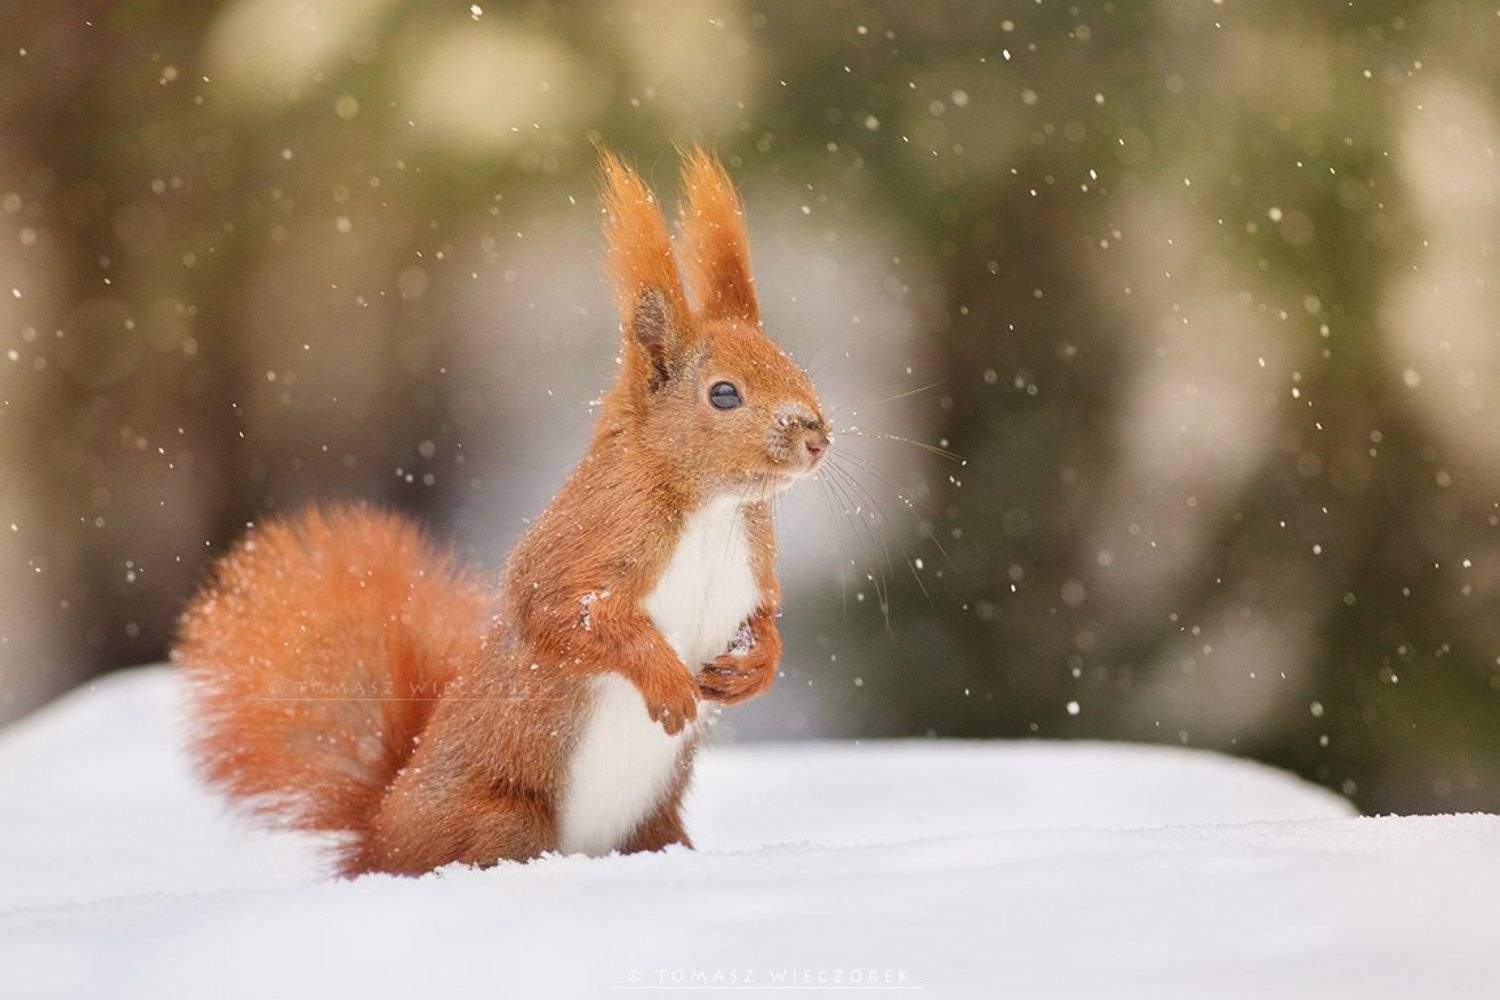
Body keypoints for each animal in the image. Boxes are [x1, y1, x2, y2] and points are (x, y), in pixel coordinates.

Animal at [172, 148, 831, 876]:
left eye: (794, 365)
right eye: (723, 394)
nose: (816, 435)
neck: (713, 507)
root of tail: (383, 833)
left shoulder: (755, 565)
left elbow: (765, 617)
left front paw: (754, 667)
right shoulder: (588, 542)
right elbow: (563, 616)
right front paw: (666, 680)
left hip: (650, 822)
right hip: (503, 822)